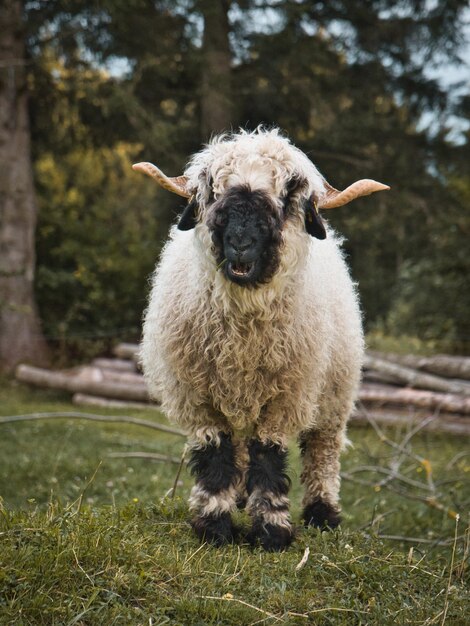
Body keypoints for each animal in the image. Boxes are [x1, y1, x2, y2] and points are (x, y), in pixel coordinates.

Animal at [133, 129, 390, 548]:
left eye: (287, 194)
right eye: (213, 190)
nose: (240, 243)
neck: (243, 333)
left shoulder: (286, 397)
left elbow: (269, 456)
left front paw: (271, 532)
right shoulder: (199, 398)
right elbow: (216, 456)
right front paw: (215, 527)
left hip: (334, 395)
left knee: (323, 451)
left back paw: (323, 513)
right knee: (239, 446)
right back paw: (239, 498)